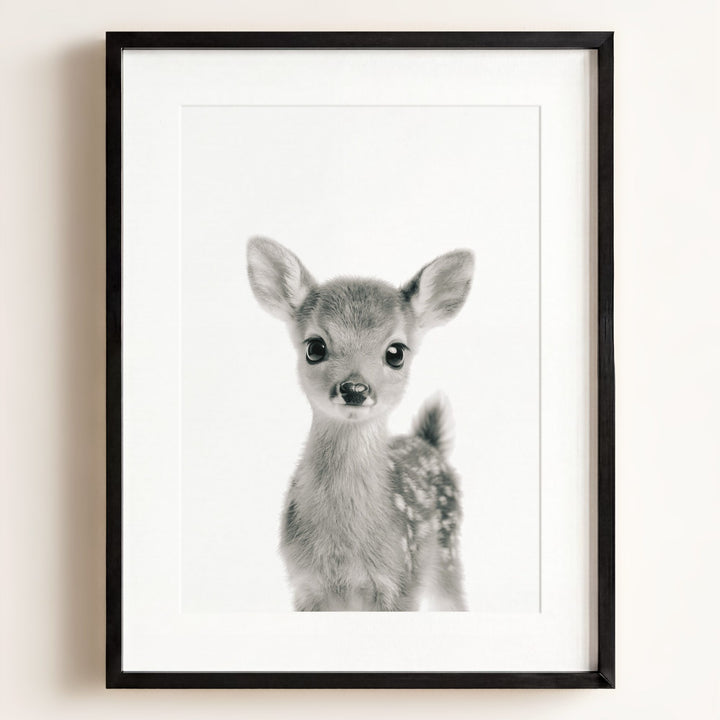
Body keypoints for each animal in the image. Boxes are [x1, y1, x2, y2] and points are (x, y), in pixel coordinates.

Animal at [247, 237, 474, 611]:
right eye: (315, 347)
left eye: (396, 352)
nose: (354, 388)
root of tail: (429, 442)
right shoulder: (304, 585)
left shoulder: (401, 582)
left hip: (447, 554)